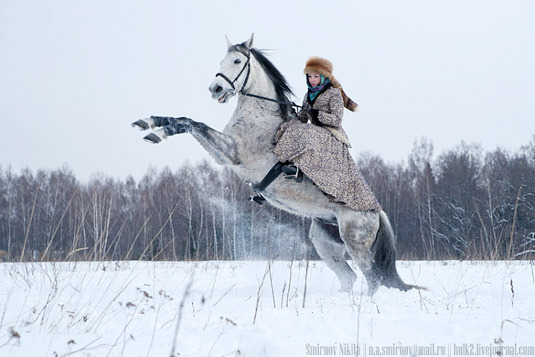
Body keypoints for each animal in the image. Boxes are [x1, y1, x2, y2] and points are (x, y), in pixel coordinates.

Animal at [132, 34, 416, 294]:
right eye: (221, 61)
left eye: (237, 61)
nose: (216, 89)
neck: (261, 114)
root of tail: (377, 212)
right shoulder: (222, 154)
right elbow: (184, 119)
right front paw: (148, 122)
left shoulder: (231, 152)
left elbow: (193, 123)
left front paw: (157, 133)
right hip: (325, 241)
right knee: (349, 277)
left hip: (355, 242)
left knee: (373, 278)